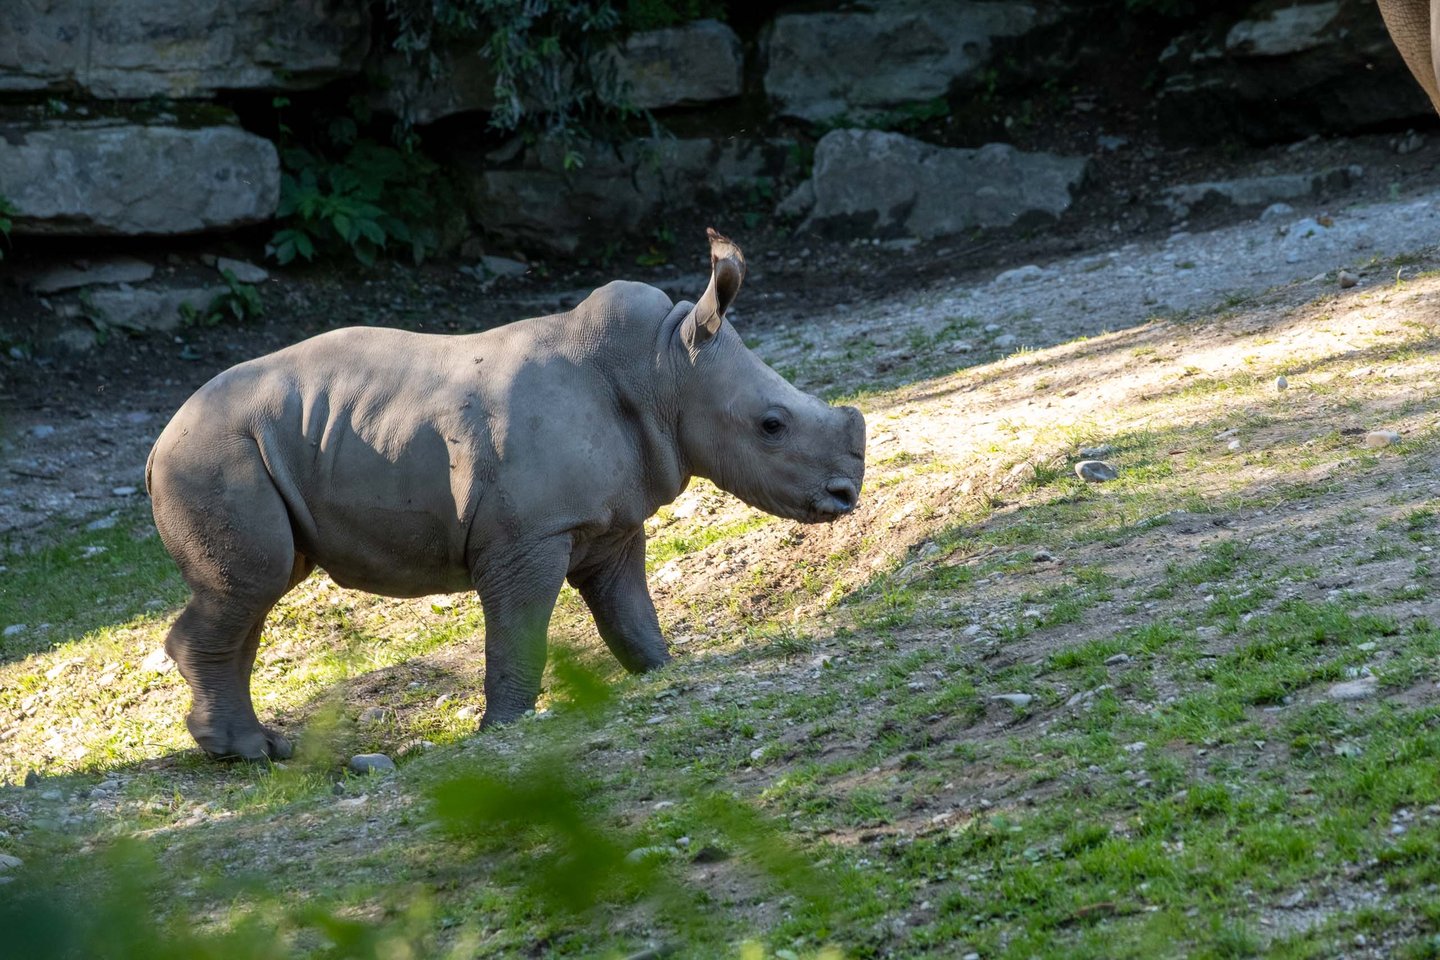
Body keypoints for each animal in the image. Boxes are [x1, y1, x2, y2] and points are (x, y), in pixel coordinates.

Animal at [147, 229, 866, 760]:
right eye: (772, 426)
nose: (846, 495)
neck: (663, 368)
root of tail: (160, 441)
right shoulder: (530, 535)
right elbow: (521, 630)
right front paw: (503, 730)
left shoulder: (610, 523)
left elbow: (631, 612)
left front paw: (664, 671)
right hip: (215, 452)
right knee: (253, 581)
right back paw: (242, 752)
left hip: (260, 444)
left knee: (260, 589)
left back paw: (265, 746)